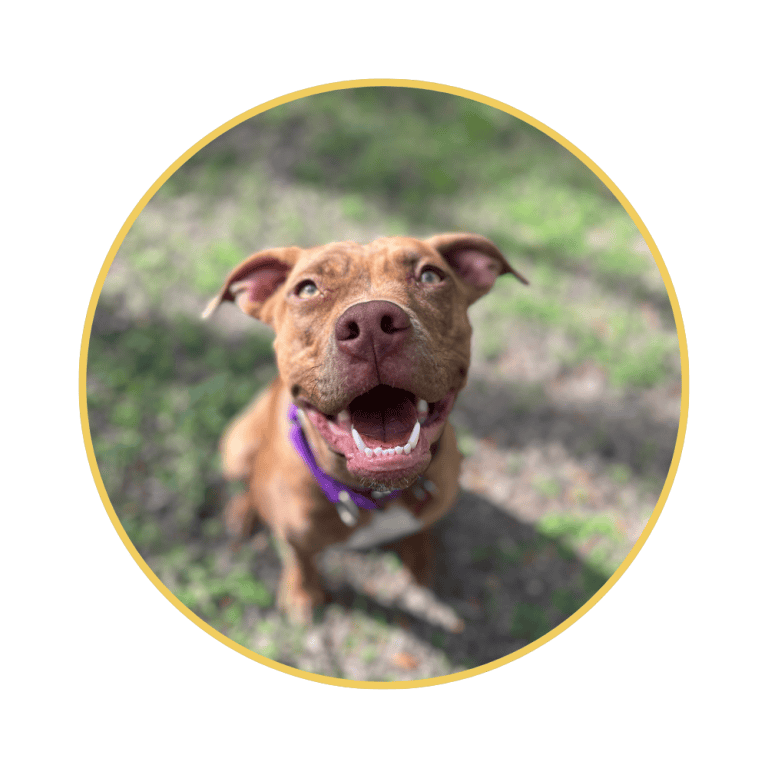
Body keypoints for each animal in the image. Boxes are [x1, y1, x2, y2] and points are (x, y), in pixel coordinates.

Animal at [202, 231, 528, 620]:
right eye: (307, 289)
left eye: (430, 275)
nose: (372, 322)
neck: (375, 495)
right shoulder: (295, 536)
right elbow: (300, 559)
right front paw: (303, 595)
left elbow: (420, 530)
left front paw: (420, 556)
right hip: (237, 445)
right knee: (245, 483)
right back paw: (242, 512)